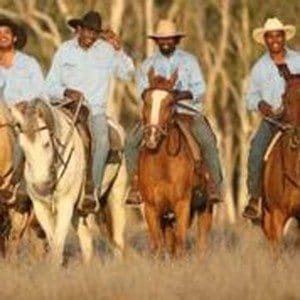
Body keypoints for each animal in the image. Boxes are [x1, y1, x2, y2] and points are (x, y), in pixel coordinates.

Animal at [139, 68, 213, 258]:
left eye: (169, 103)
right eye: (146, 100)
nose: (152, 136)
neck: (163, 166)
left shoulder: (182, 206)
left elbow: (180, 245)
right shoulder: (151, 209)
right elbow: (158, 247)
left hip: (205, 208)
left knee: (202, 243)